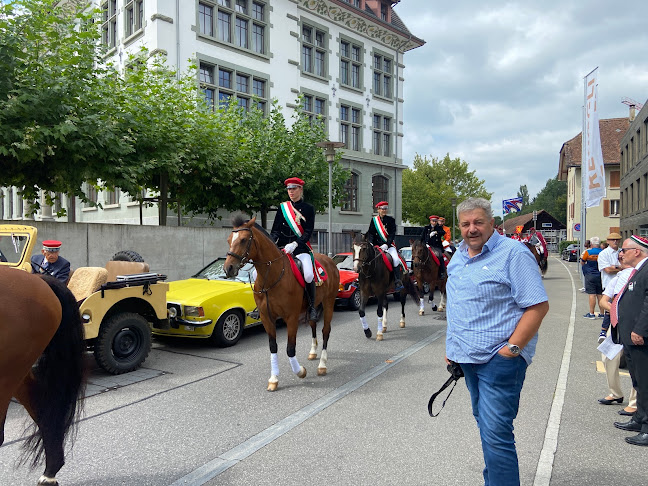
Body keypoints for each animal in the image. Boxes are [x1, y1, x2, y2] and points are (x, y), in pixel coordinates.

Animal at [224, 216, 340, 392]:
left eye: (243, 240)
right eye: (229, 240)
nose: (228, 268)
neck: (272, 276)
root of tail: (329, 260)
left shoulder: (291, 317)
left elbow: (290, 348)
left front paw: (300, 371)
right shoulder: (267, 317)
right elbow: (273, 347)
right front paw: (273, 379)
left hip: (329, 302)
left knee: (325, 331)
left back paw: (322, 365)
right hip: (314, 306)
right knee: (313, 323)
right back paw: (313, 352)